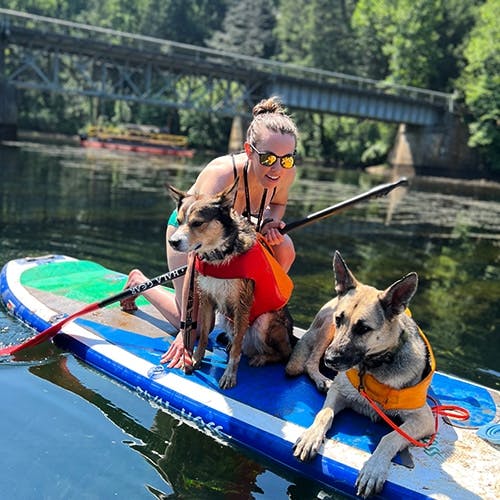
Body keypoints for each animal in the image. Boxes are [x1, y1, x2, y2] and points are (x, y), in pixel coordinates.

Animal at [168, 180, 292, 390]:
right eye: (178, 221)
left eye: (197, 223)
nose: (173, 242)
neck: (219, 256)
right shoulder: (206, 298)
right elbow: (202, 337)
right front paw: (195, 360)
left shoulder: (242, 304)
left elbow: (236, 352)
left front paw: (229, 376)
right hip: (227, 319)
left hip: (264, 321)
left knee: (282, 353)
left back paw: (261, 357)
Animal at [288, 252, 436, 498]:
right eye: (340, 319)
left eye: (363, 329)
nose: (330, 360)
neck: (372, 367)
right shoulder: (338, 392)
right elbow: (324, 414)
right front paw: (311, 436)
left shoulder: (423, 419)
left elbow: (390, 437)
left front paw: (374, 468)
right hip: (326, 331)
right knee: (310, 361)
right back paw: (321, 378)